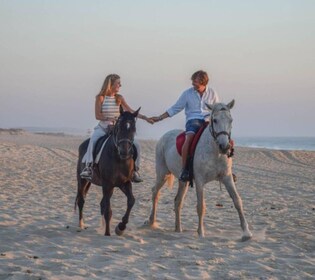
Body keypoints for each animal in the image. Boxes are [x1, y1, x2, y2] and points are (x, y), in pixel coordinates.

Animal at [74, 107, 140, 236]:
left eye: (134, 129)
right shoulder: (107, 184)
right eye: (118, 127)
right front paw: (108, 233)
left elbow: (131, 200)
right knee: (81, 200)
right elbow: (108, 210)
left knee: (101, 203)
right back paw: (81, 225)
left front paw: (121, 227)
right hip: (82, 180)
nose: (124, 151)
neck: (119, 159)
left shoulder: (124, 183)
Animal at [147, 100, 253, 241]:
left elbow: (237, 201)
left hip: (183, 181)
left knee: (177, 201)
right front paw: (201, 232)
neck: (215, 151)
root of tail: (164, 136)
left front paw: (246, 232)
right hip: (162, 174)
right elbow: (201, 206)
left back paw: (178, 229)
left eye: (231, 120)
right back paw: (151, 221)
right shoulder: (199, 181)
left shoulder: (227, 178)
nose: (224, 147)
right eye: (215, 120)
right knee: (155, 192)